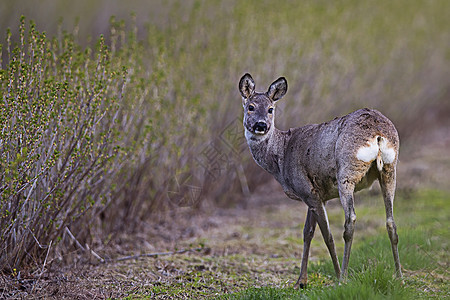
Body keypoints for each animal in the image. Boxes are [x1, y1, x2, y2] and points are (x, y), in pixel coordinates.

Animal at [239, 72, 404, 288]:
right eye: (250, 106)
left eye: (270, 109)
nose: (261, 125)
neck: (281, 156)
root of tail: (378, 134)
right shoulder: (316, 194)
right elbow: (307, 232)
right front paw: (300, 282)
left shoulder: (307, 190)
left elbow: (327, 236)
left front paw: (335, 274)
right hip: (389, 170)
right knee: (391, 221)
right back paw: (400, 277)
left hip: (347, 171)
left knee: (350, 220)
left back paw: (343, 278)